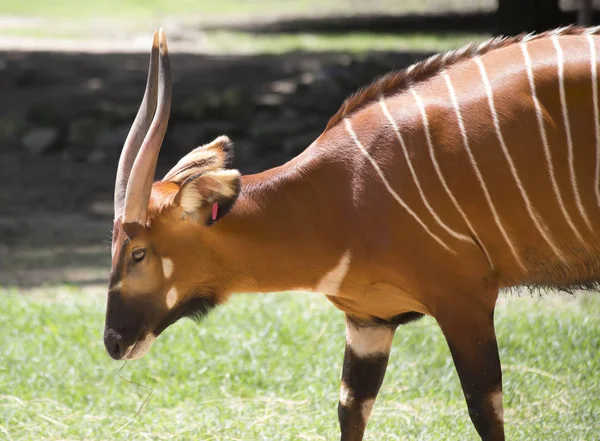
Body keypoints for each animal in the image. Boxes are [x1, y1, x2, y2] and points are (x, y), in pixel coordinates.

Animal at [104, 27, 600, 440]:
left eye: (138, 253)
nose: (112, 342)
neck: (343, 192)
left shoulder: (465, 303)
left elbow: (485, 411)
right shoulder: (369, 321)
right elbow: (351, 411)